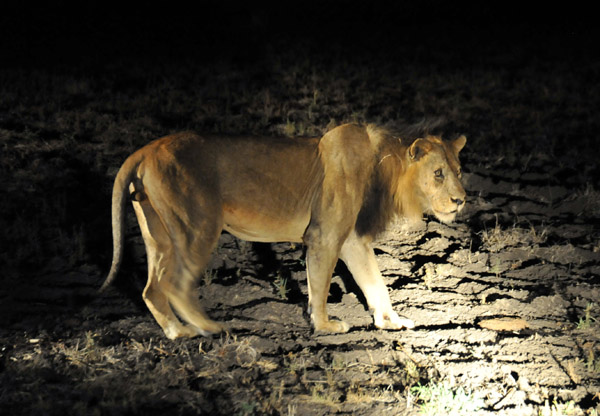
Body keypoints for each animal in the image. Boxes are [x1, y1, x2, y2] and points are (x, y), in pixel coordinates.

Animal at [102, 122, 468, 338]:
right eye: (438, 173)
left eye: (459, 171)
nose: (461, 200)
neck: (385, 168)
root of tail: (145, 150)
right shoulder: (325, 236)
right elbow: (320, 285)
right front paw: (325, 326)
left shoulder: (352, 241)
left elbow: (375, 281)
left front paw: (391, 320)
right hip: (198, 226)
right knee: (177, 284)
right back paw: (211, 327)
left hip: (159, 234)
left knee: (151, 289)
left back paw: (178, 332)